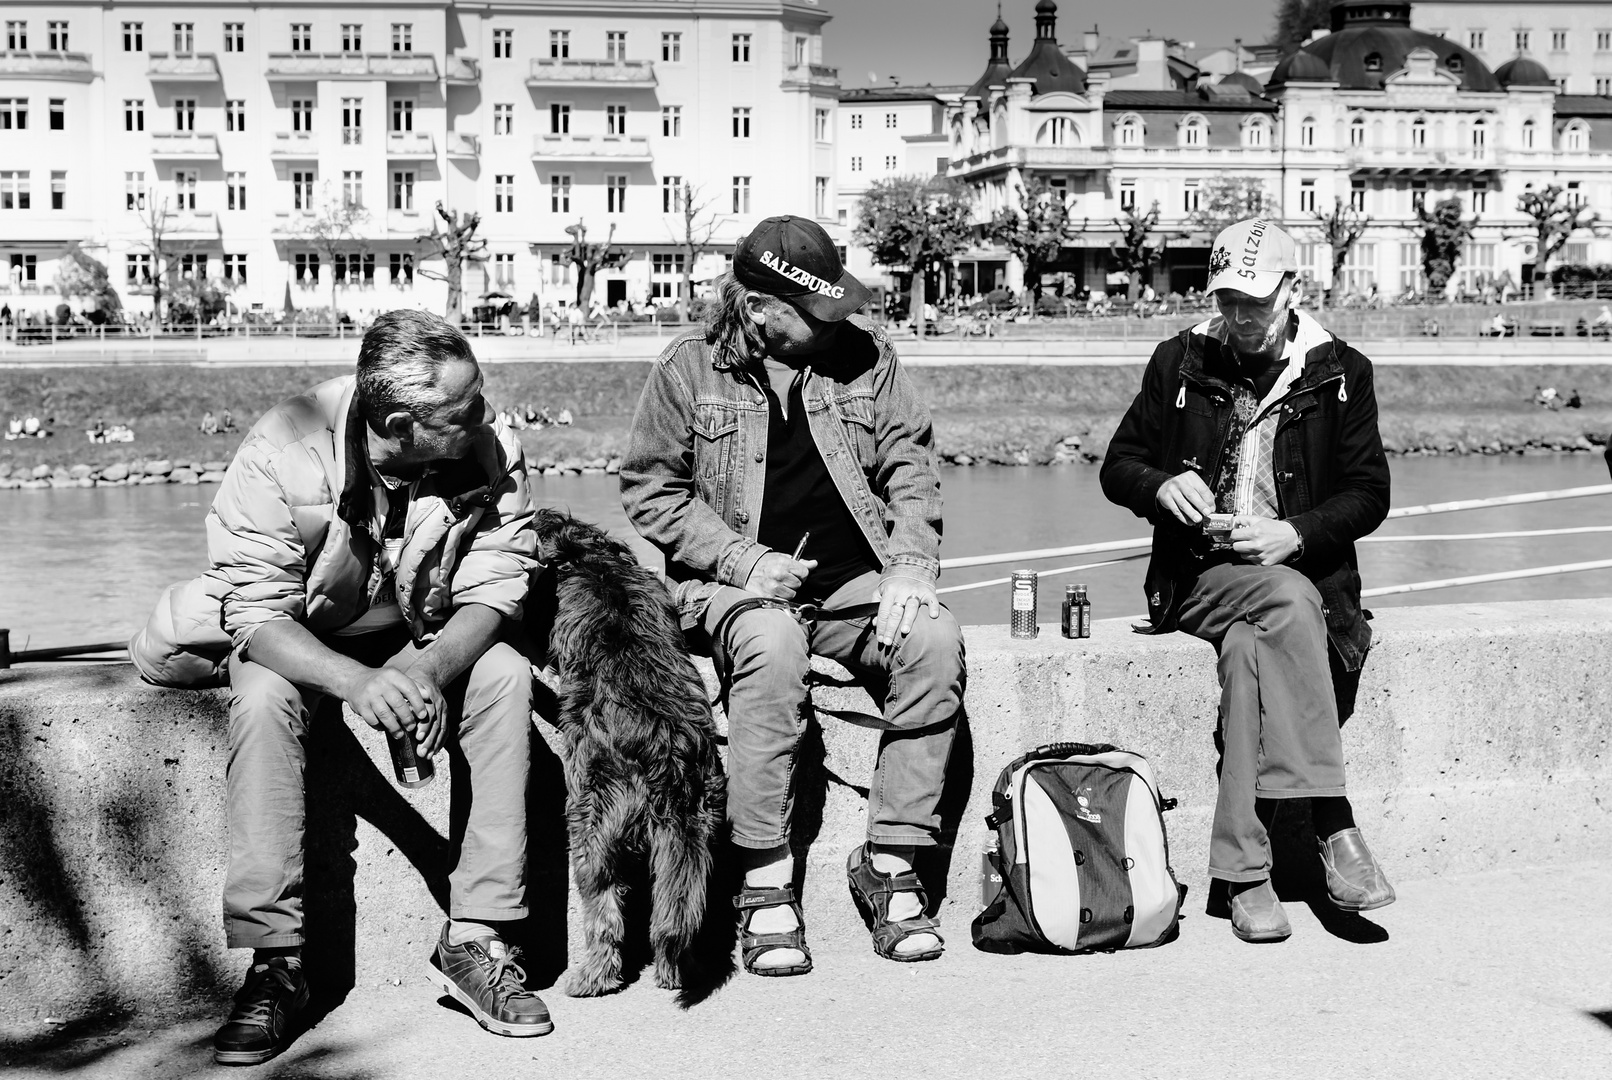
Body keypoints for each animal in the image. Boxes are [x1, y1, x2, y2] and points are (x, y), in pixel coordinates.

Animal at [531, 512, 728, 1005]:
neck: (593, 561)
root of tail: (669, 758)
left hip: (592, 826)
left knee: (605, 913)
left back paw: (592, 977)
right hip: (694, 830)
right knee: (676, 911)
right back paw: (681, 968)